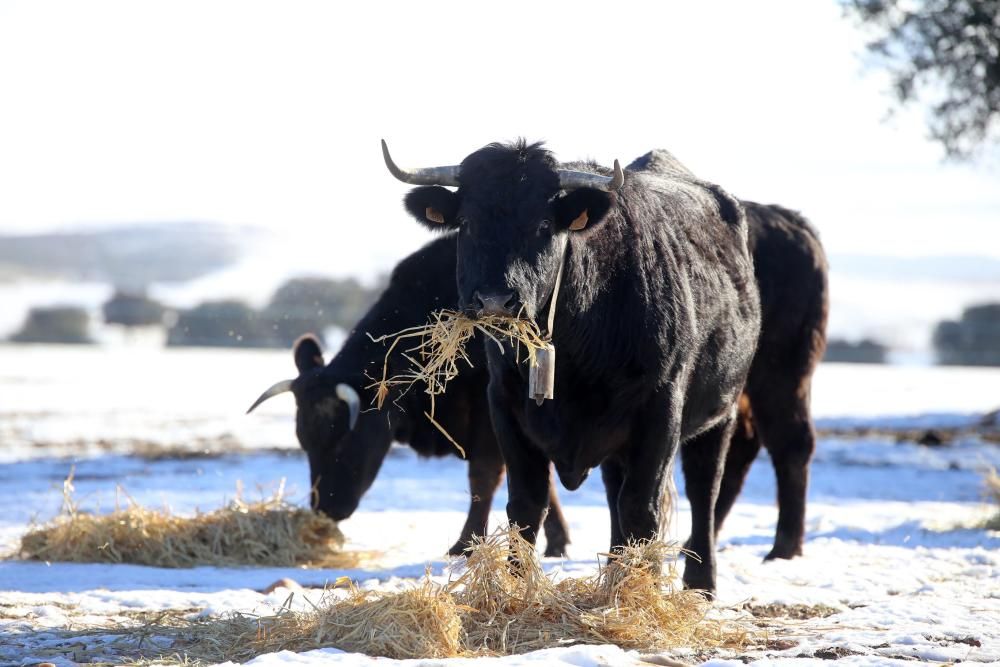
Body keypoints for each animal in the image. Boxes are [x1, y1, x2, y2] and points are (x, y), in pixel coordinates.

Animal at [246, 235, 572, 560]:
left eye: (344, 438)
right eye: (304, 442)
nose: (325, 509)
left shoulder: (489, 411)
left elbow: (484, 476)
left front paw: (464, 545)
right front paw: (557, 542)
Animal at [386, 138, 760, 592]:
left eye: (544, 226)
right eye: (468, 224)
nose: (495, 300)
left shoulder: (661, 407)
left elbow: (643, 506)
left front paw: (640, 590)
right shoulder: (505, 405)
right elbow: (527, 503)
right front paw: (518, 586)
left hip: (721, 413)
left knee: (704, 490)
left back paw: (701, 582)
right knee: (616, 493)